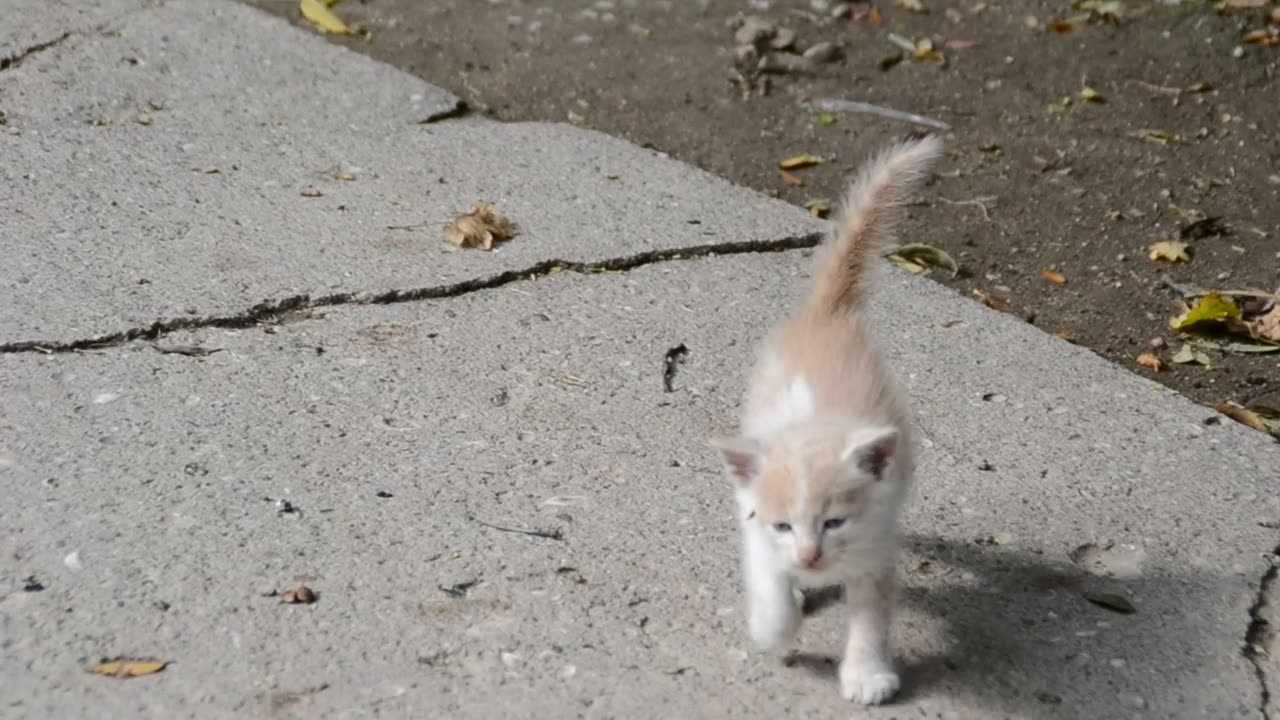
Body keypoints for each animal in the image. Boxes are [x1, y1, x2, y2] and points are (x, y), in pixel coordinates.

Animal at [711, 133, 942, 702]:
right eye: (784, 525)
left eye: (834, 522)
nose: (810, 559)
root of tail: (828, 313)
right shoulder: (754, 527)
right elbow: (769, 581)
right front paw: (774, 629)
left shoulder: (874, 545)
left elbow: (871, 614)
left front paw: (867, 674)